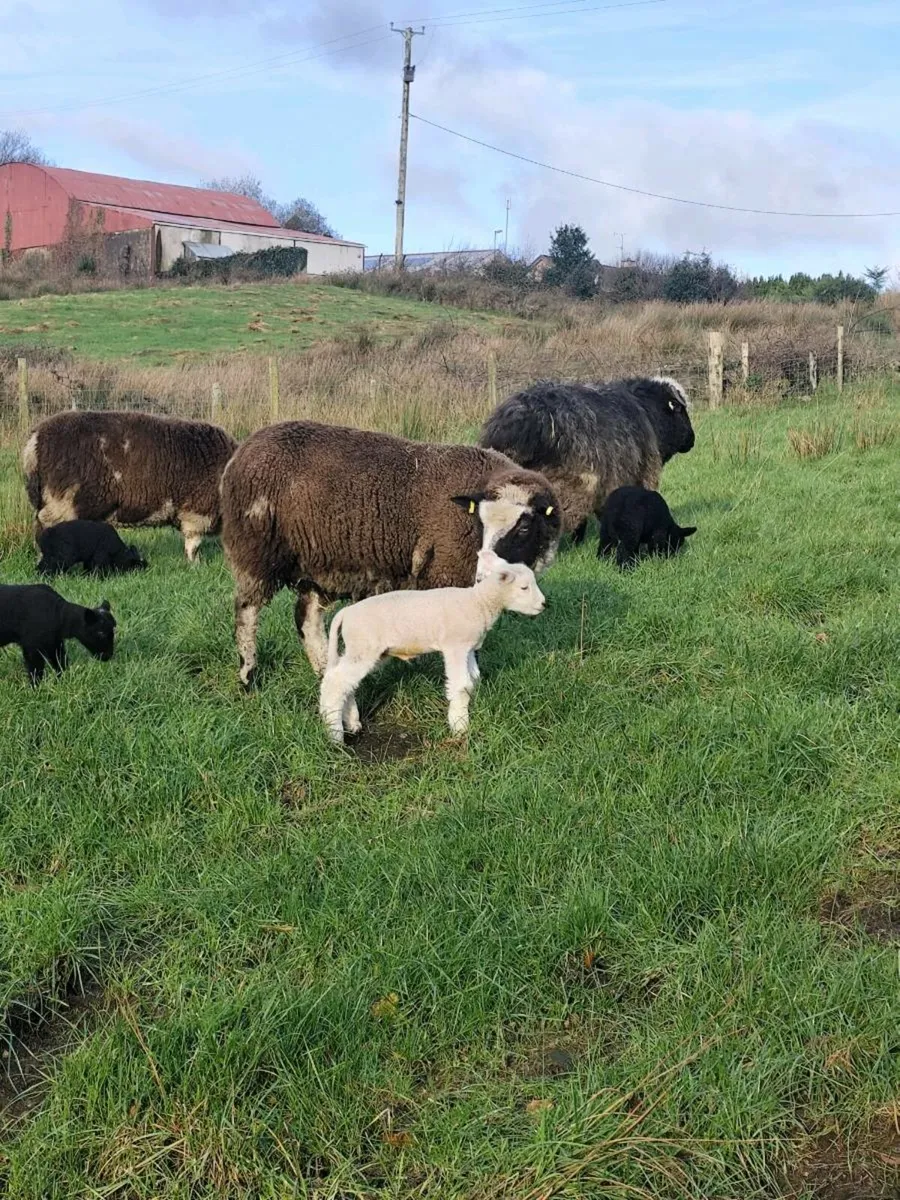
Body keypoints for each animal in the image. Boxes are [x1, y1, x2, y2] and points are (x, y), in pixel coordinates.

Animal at [23, 410, 237, 562]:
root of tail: (34, 441)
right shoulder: (197, 511)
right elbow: (194, 544)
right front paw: (195, 565)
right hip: (62, 502)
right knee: (46, 526)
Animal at [220, 420, 561, 688]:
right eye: (481, 521)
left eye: (524, 527)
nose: (483, 574)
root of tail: (241, 451)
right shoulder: (450, 576)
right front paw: (469, 682)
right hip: (255, 550)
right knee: (246, 610)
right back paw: (248, 675)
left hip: (321, 563)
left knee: (307, 617)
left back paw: (323, 671)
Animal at [319, 549, 545, 742]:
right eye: (524, 587)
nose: (543, 604)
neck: (478, 603)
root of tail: (346, 612)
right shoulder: (455, 647)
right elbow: (461, 686)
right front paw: (460, 727)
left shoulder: (467, 648)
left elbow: (473, 680)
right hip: (363, 648)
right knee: (334, 682)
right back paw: (335, 735)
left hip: (365, 651)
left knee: (346, 684)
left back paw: (352, 722)